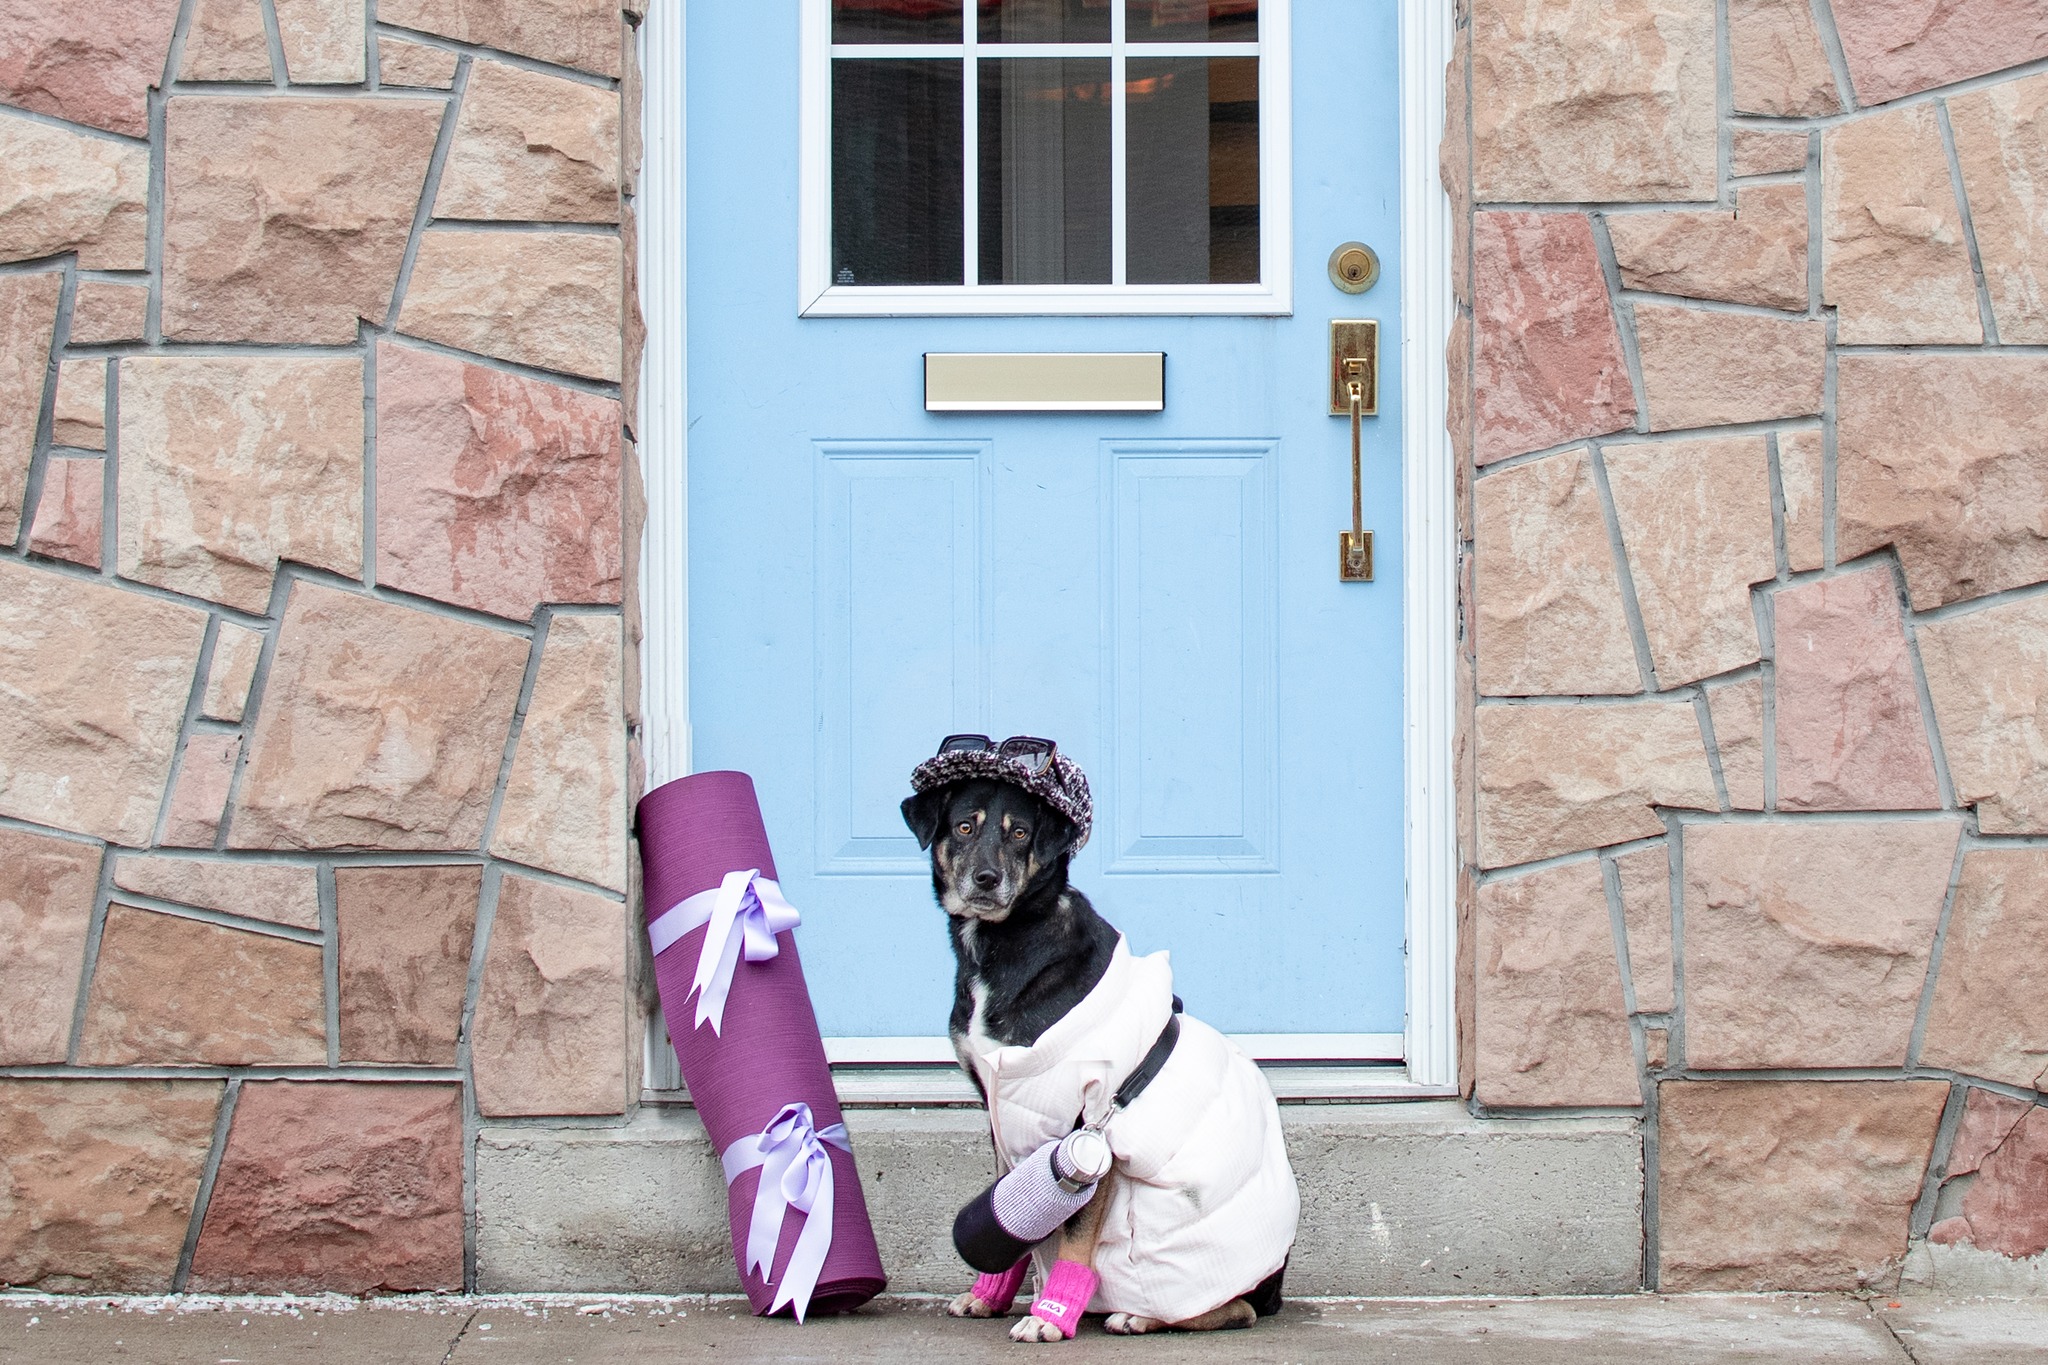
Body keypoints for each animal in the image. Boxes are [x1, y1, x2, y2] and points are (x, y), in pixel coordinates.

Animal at [901, 740, 1294, 1342]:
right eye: (965, 826)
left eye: (1021, 833)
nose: (987, 878)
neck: (1005, 940)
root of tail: (1275, 1283)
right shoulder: (1001, 1111)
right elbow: (1008, 1209)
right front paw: (988, 1296)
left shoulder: (1088, 1126)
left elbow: (1076, 1236)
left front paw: (1049, 1318)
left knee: (1237, 1308)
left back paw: (1142, 1314)